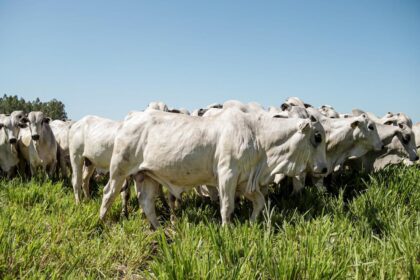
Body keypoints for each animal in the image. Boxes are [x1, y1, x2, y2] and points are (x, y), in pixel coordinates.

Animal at [99, 106, 328, 229]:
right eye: (317, 136)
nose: (325, 169)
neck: (259, 139)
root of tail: (132, 116)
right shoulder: (227, 175)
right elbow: (227, 207)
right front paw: (227, 230)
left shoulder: (244, 181)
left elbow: (260, 202)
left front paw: (252, 222)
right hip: (119, 169)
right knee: (108, 194)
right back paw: (101, 224)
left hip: (147, 175)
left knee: (146, 202)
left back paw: (159, 230)